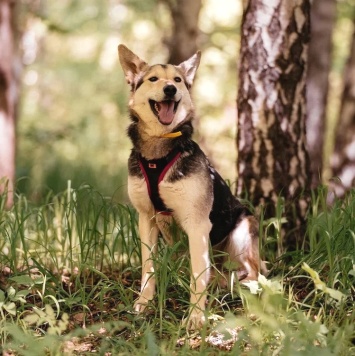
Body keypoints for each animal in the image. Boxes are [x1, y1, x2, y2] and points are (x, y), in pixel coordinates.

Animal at [118, 45, 260, 330]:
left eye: (177, 79)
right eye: (153, 79)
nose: (170, 89)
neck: (159, 151)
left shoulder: (197, 224)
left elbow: (198, 276)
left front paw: (195, 316)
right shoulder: (146, 218)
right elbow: (148, 268)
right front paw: (144, 303)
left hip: (242, 229)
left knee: (253, 272)